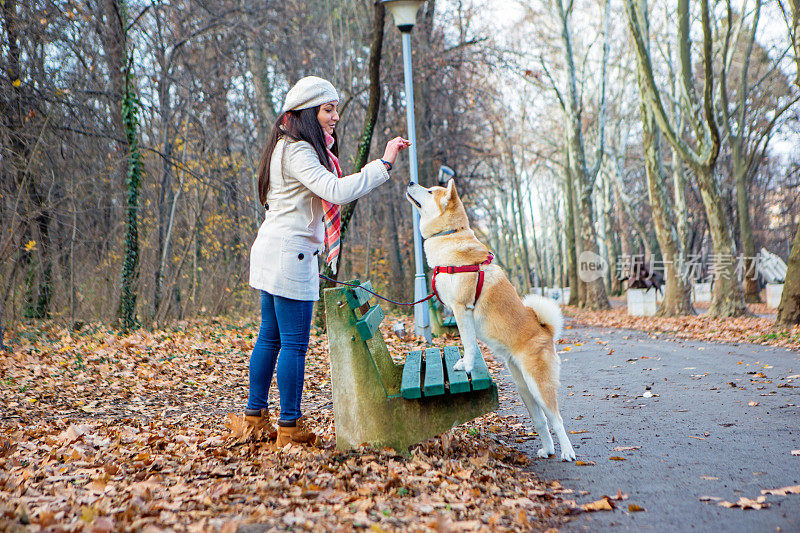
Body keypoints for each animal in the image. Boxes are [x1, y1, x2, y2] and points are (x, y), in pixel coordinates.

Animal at [406, 180, 576, 462]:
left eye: (430, 191)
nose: (410, 181)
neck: (449, 236)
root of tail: (546, 332)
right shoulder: (460, 313)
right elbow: (469, 343)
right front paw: (467, 362)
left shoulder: (462, 309)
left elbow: (469, 344)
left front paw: (466, 366)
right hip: (524, 387)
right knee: (541, 421)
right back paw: (548, 449)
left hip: (539, 385)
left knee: (557, 419)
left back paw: (567, 452)